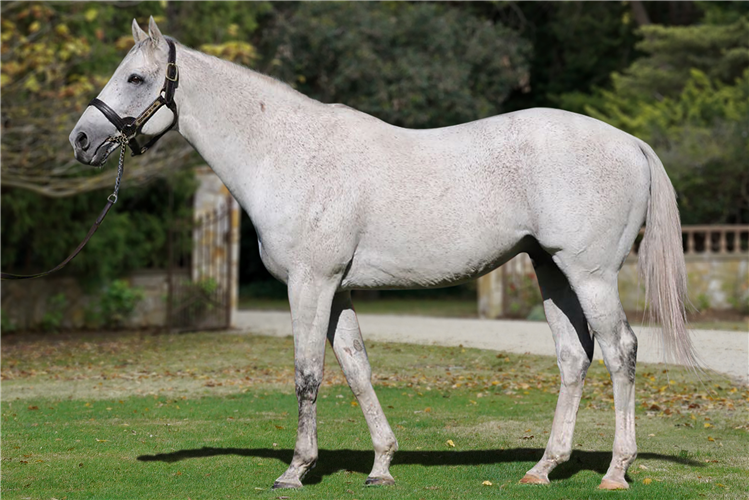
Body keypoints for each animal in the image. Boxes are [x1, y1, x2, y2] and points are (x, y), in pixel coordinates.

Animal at [70, 19, 696, 492]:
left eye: (135, 76)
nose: (80, 140)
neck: (287, 154)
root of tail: (629, 142)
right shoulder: (339, 289)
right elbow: (356, 368)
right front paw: (381, 465)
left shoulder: (310, 284)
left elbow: (308, 373)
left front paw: (296, 471)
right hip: (552, 272)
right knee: (573, 357)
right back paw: (542, 468)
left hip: (590, 274)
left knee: (620, 351)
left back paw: (615, 471)